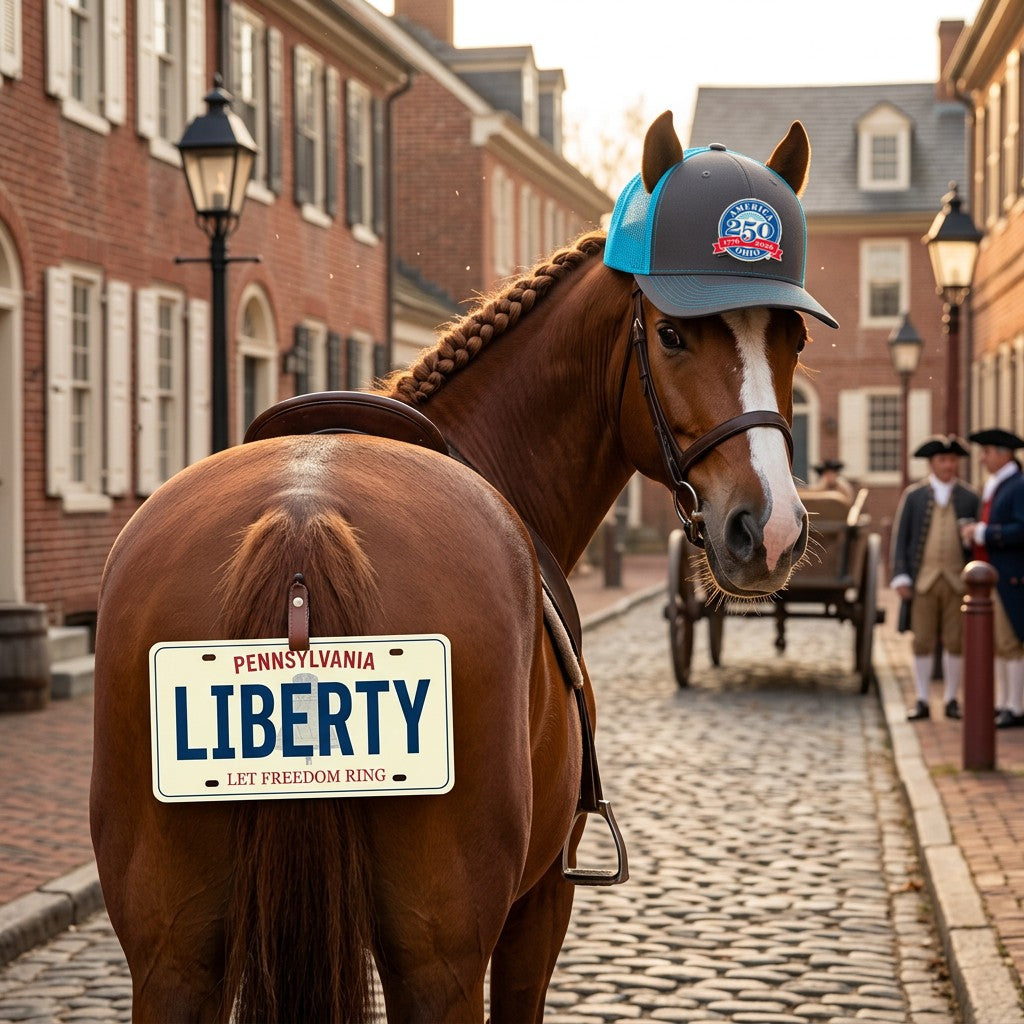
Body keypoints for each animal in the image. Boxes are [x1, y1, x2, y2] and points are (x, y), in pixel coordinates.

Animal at [90, 110, 833, 1023]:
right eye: (671, 332)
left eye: (793, 336)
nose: (769, 528)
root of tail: (301, 525)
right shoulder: (540, 904)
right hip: (440, 958)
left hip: (173, 957)